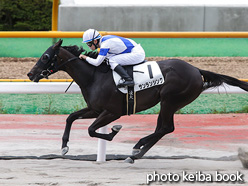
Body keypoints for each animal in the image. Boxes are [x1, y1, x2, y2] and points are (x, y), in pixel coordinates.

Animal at [27, 39, 248, 163]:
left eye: (45, 56)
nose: (30, 74)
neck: (94, 76)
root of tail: (196, 70)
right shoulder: (95, 109)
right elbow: (71, 118)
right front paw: (64, 146)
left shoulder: (112, 112)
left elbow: (91, 130)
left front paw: (114, 131)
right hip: (168, 103)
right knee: (162, 129)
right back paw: (135, 154)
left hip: (170, 101)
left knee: (166, 128)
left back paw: (136, 148)